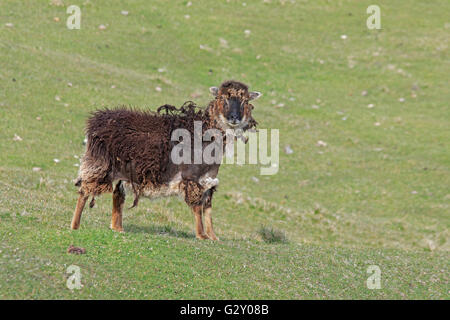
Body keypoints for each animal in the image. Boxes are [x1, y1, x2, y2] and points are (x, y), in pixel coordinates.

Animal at [71, 80, 262, 240]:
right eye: (223, 98)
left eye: (245, 101)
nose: (234, 118)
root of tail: (97, 120)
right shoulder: (191, 177)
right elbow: (197, 206)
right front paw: (202, 235)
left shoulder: (209, 180)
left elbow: (207, 208)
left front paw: (213, 237)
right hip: (98, 165)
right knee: (84, 192)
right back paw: (75, 226)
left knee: (117, 196)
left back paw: (117, 228)